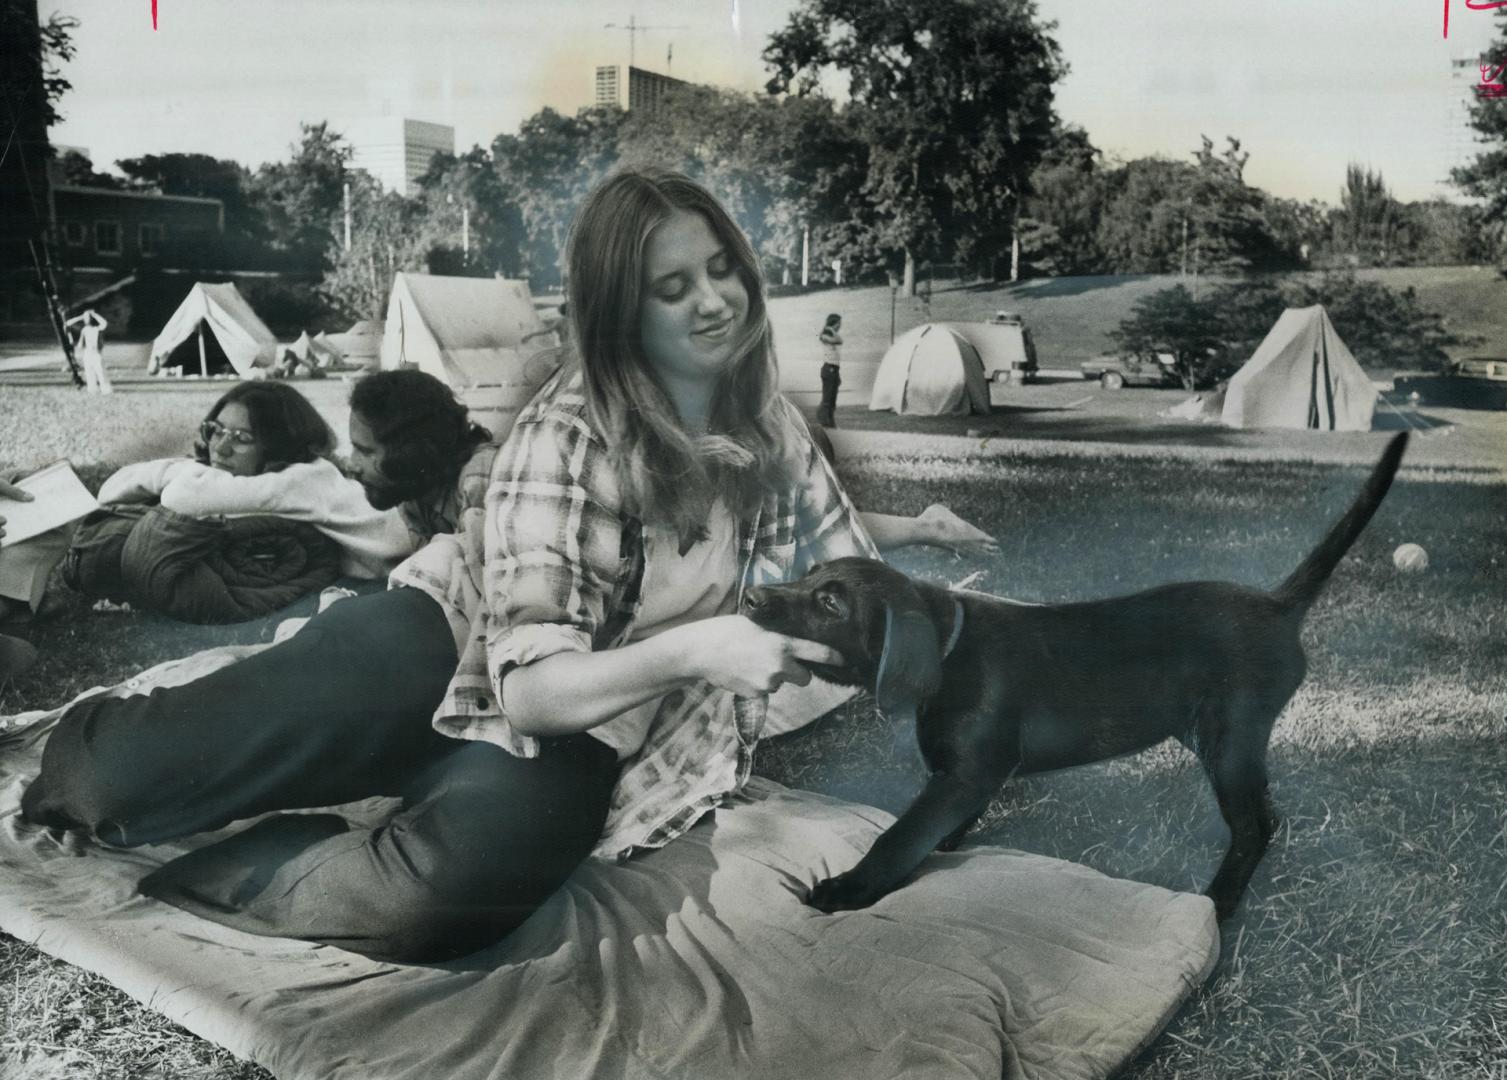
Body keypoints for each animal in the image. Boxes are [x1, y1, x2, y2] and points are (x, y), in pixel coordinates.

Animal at [747, 430, 1404, 915]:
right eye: (811, 575)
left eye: (831, 604)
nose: (752, 597)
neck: (950, 650)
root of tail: (1276, 604)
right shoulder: (965, 777)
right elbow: (939, 825)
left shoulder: (965, 773)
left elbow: (901, 834)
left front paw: (850, 888)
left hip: (1231, 738)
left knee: (1256, 826)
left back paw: (1219, 902)